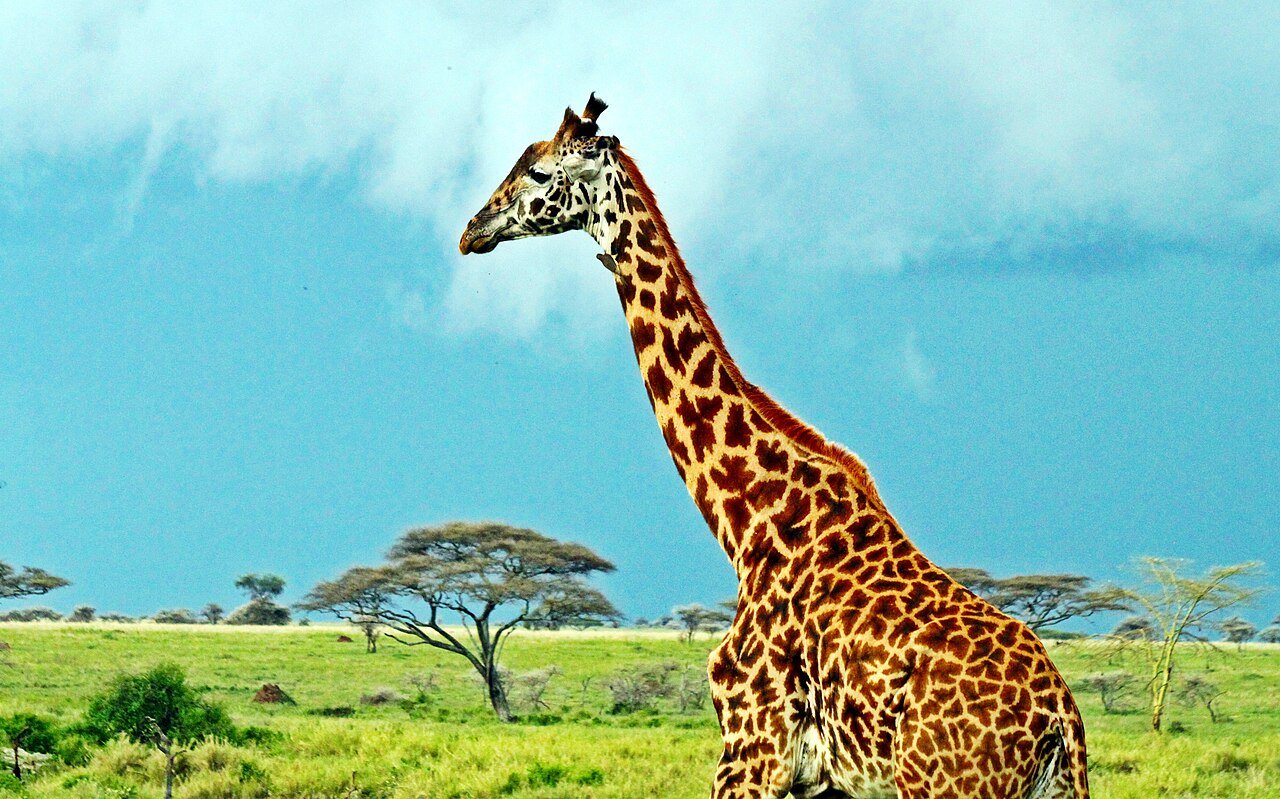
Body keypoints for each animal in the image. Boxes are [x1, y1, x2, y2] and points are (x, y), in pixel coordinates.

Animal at [460, 96, 1090, 799]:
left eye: (540, 172)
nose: (472, 229)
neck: (746, 521)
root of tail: (1061, 719)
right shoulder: (820, 778)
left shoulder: (751, 742)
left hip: (943, 784)